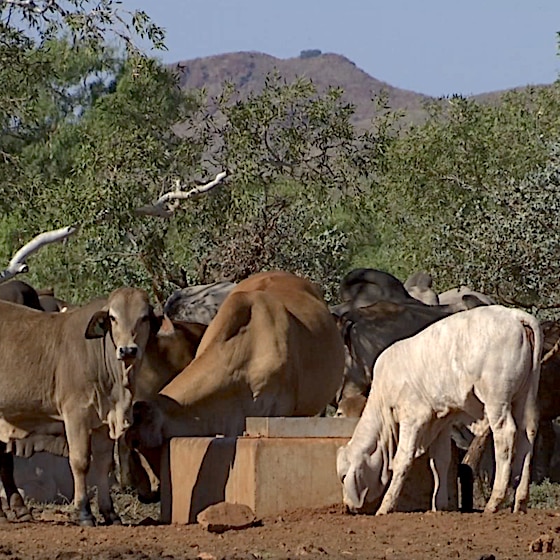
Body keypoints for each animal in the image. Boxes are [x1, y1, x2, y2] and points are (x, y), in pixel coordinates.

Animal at [0, 288, 160, 524]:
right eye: (113, 317)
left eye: (144, 317)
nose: (128, 350)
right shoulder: (76, 414)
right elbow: (80, 461)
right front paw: (84, 512)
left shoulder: (104, 422)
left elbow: (104, 464)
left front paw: (110, 513)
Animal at [336, 306, 544, 516]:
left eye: (344, 476)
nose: (347, 506)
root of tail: (515, 315)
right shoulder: (441, 421)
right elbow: (440, 461)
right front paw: (440, 506)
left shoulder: (413, 418)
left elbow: (402, 459)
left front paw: (385, 507)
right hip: (526, 397)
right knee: (528, 435)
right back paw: (520, 502)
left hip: (496, 400)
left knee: (505, 435)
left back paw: (494, 502)